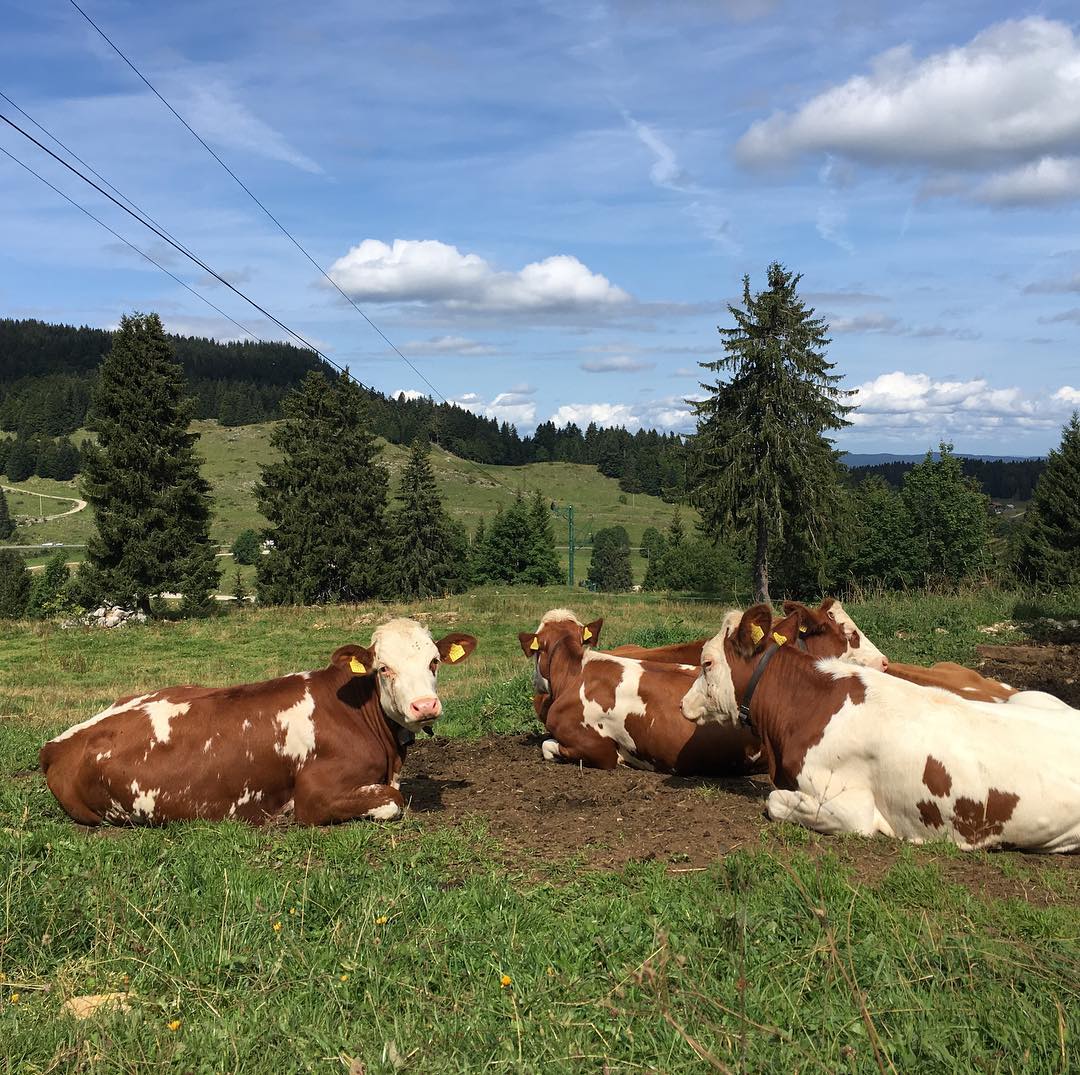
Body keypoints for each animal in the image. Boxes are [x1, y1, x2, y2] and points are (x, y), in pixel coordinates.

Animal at [40, 619, 478, 826]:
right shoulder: (315, 794)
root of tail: (56, 744)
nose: (425, 706)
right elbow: (392, 802)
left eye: (434, 662)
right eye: (383, 668)